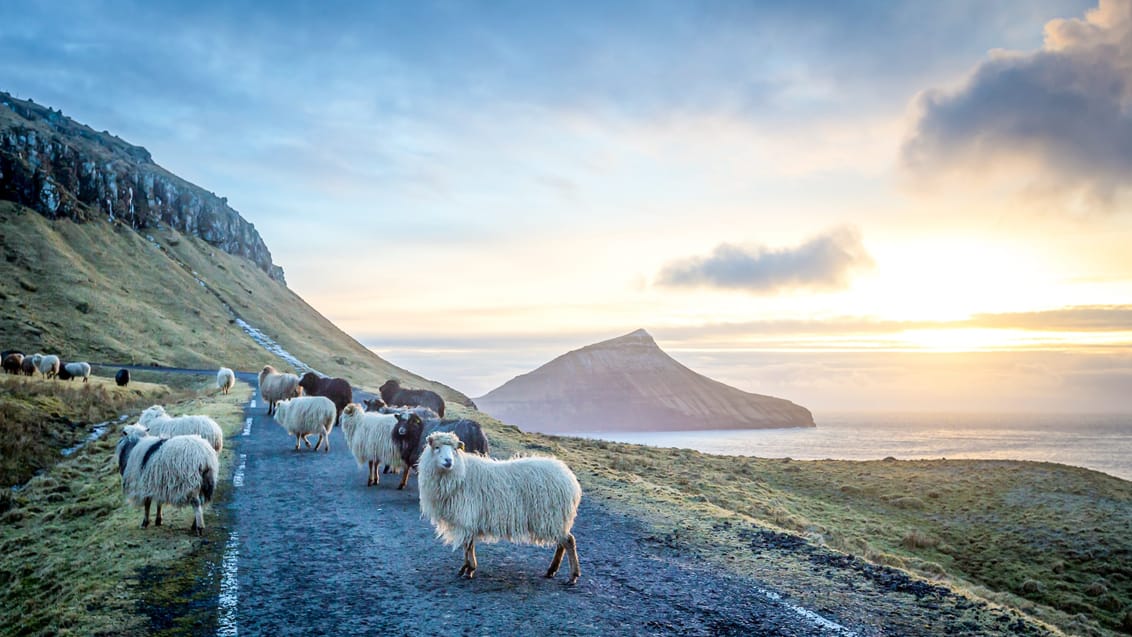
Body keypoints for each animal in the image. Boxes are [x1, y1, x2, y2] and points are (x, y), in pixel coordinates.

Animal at [416, 432, 584, 583]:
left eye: (454, 450)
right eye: (437, 447)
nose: (448, 461)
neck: (460, 473)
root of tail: (569, 477)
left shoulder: (466, 516)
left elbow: (468, 545)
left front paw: (469, 569)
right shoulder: (466, 519)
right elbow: (467, 545)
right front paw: (465, 567)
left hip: (552, 517)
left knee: (569, 541)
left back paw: (572, 575)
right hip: (556, 519)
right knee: (562, 543)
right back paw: (551, 570)